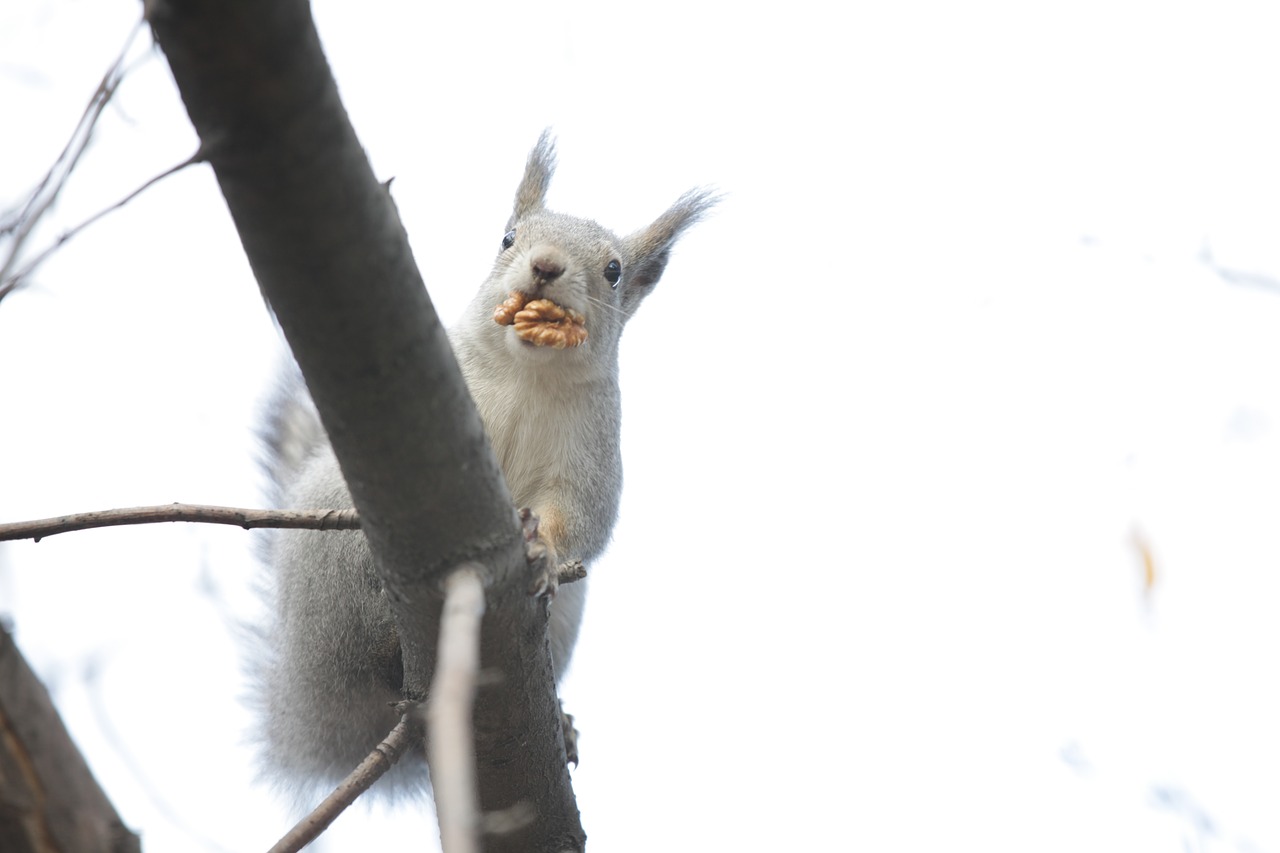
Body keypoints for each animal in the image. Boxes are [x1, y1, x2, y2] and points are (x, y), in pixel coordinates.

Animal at [244, 128, 716, 804]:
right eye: (508, 238)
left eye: (614, 272)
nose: (546, 265)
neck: (528, 370)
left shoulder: (593, 452)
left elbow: (580, 516)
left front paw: (542, 548)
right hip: (331, 565)